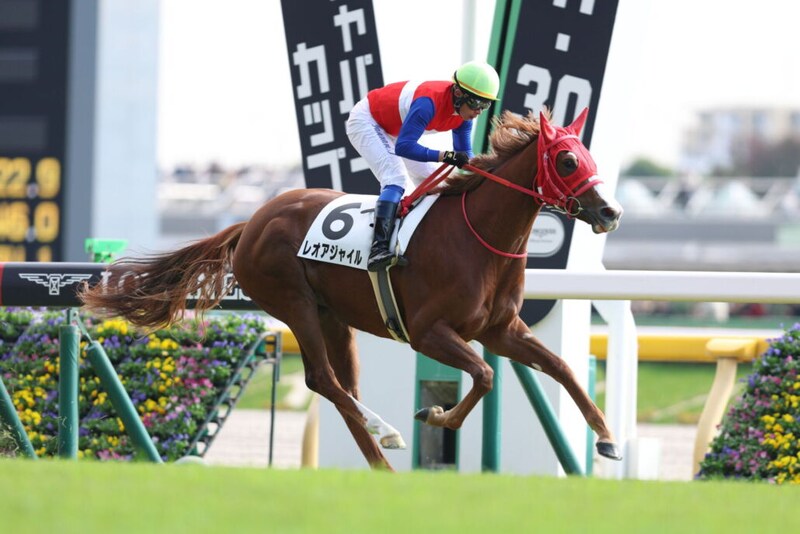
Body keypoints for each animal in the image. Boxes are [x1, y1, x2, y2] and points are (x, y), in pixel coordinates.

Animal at [79, 108, 624, 471]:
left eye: (588, 155)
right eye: (567, 160)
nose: (611, 212)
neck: (478, 237)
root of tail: (251, 222)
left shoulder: (501, 329)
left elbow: (561, 367)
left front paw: (607, 438)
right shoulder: (429, 332)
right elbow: (485, 375)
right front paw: (436, 415)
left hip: (333, 317)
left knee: (343, 388)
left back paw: (381, 463)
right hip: (294, 304)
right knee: (322, 380)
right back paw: (391, 435)